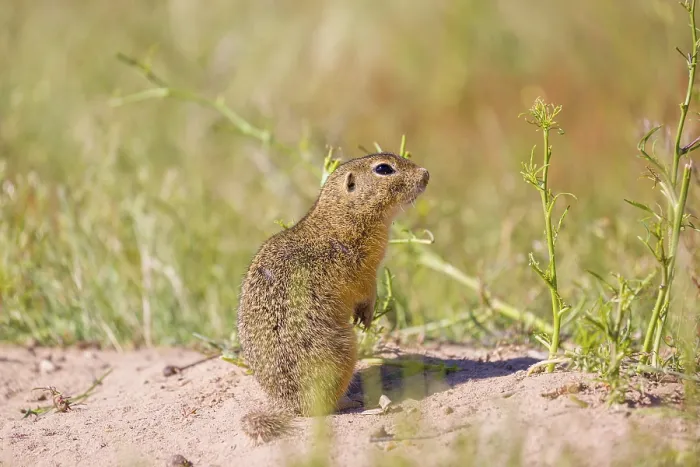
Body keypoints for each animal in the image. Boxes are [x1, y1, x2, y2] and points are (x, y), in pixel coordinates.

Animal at [236, 152, 430, 443]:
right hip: (345, 352)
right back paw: (352, 400)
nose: (426, 173)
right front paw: (366, 317)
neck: (339, 219)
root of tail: (287, 405)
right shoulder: (363, 272)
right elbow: (366, 292)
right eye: (384, 169)